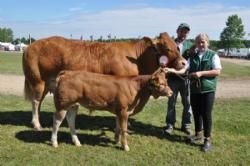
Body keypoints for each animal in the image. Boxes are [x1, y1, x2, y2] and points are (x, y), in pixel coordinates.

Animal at [23, 32, 187, 130]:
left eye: (177, 46)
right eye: (167, 47)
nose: (184, 63)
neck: (138, 60)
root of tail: (30, 46)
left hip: (46, 83)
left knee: (38, 101)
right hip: (37, 81)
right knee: (35, 101)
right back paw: (36, 124)